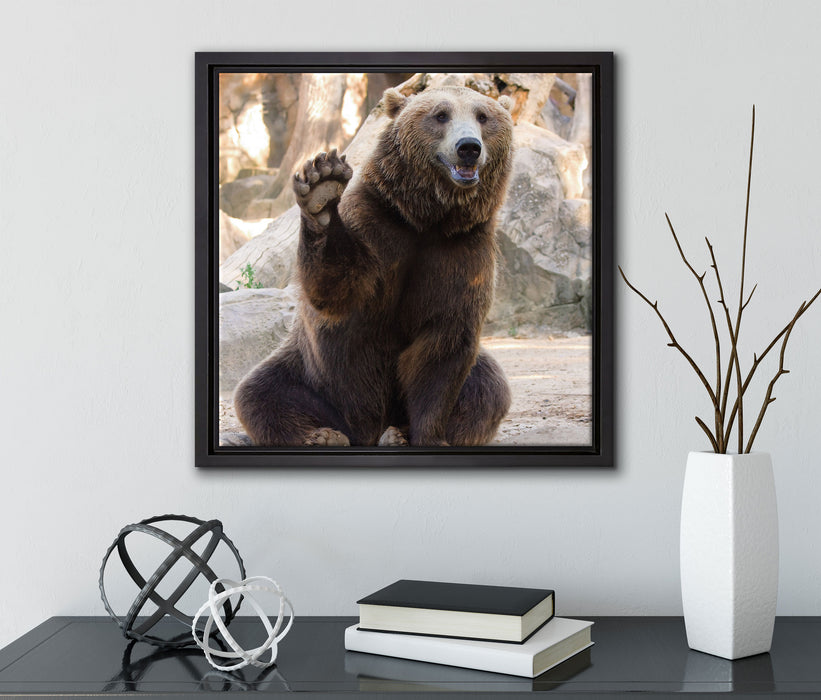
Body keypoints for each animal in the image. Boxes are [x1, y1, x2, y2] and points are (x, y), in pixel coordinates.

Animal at [233, 85, 514, 448]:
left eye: (483, 116)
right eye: (440, 115)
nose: (468, 147)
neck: (428, 220)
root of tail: (365, 429)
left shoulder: (462, 252)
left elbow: (444, 346)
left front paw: (428, 435)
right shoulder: (376, 225)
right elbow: (337, 288)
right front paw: (323, 187)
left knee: (488, 387)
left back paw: (396, 433)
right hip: (312, 375)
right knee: (261, 393)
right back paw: (324, 435)